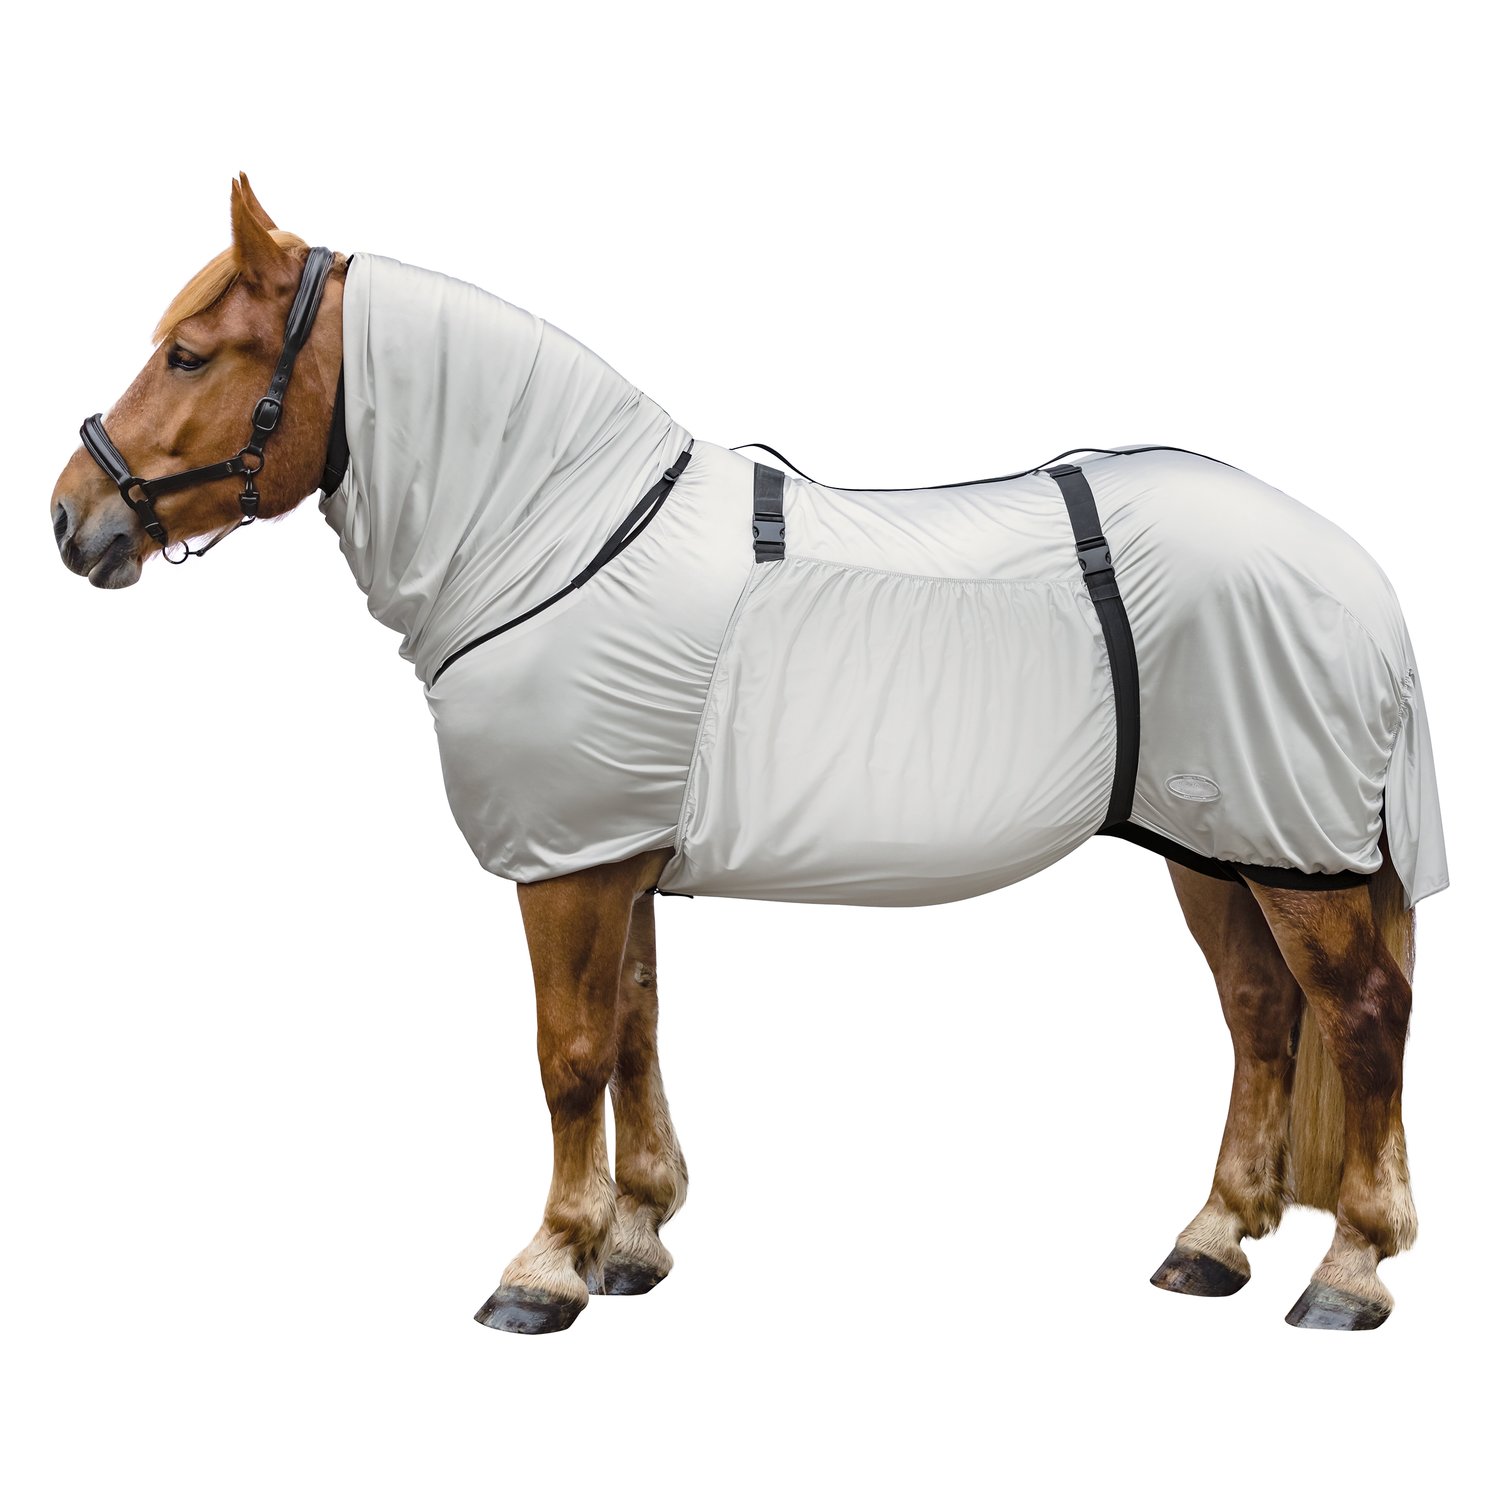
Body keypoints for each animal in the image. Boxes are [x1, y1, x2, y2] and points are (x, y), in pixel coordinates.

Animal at [51, 176, 1444, 1335]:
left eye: (187, 353)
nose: (73, 517)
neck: (557, 536)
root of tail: (1356, 571)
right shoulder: (613, 851)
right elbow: (633, 1033)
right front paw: (633, 1239)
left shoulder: (565, 866)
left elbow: (568, 1057)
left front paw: (545, 1268)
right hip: (1217, 843)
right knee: (1263, 1015)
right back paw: (1212, 1242)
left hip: (1289, 851)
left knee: (1364, 1016)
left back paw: (1351, 1270)